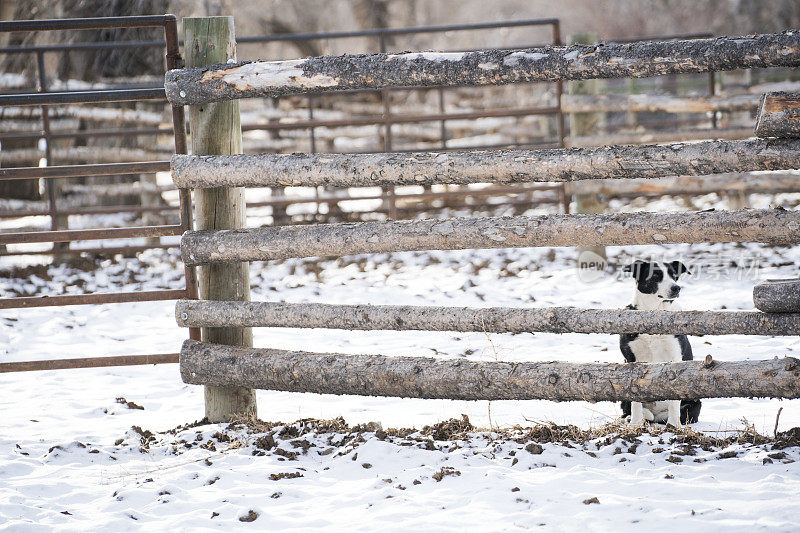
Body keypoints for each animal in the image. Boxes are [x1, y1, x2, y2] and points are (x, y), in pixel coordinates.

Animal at [620, 260, 700, 426]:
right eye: (656, 275)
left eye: (674, 275)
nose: (676, 287)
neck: (654, 317)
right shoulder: (632, 360)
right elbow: (634, 398)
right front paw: (635, 424)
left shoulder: (675, 357)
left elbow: (674, 399)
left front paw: (673, 426)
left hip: (694, 403)